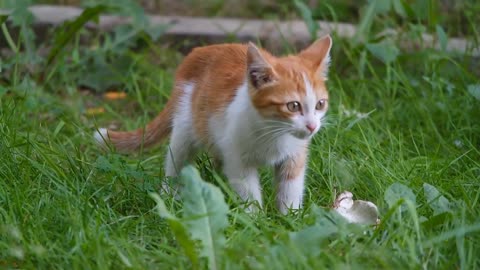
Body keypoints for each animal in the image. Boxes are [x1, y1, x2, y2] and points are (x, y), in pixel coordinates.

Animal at [95, 35, 332, 213]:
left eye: (320, 104)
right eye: (293, 106)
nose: (312, 126)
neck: (273, 133)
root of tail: (196, 53)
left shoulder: (294, 155)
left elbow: (290, 188)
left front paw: (289, 219)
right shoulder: (238, 159)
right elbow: (248, 191)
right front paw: (255, 221)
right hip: (186, 126)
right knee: (176, 160)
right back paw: (169, 196)